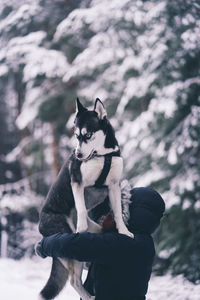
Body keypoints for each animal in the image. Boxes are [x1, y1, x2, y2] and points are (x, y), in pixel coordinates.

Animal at [38, 98, 133, 300]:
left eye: (87, 135)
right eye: (76, 136)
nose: (78, 155)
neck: (102, 155)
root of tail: (41, 225)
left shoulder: (113, 185)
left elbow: (118, 213)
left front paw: (124, 231)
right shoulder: (77, 182)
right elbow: (81, 208)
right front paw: (80, 228)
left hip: (96, 231)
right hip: (67, 244)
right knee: (74, 279)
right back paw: (89, 296)